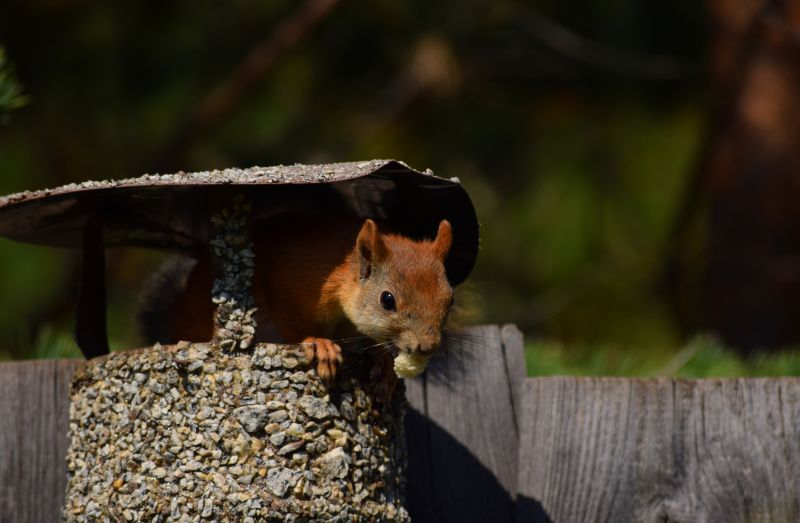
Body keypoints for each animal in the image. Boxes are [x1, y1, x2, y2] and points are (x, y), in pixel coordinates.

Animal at [138, 213, 455, 396]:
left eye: (450, 299)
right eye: (387, 300)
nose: (427, 347)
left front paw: (384, 363)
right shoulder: (286, 287)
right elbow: (293, 322)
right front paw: (320, 344)